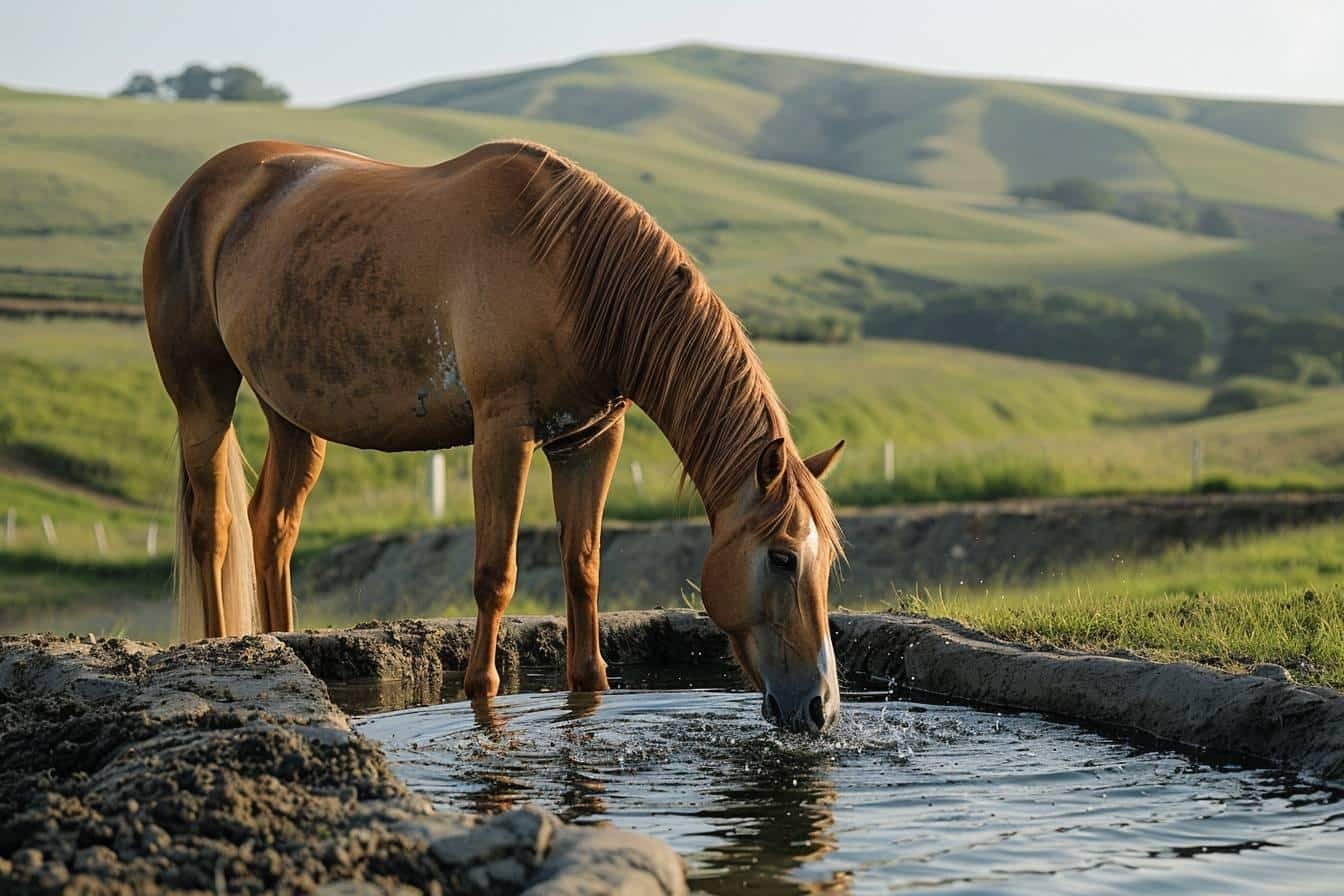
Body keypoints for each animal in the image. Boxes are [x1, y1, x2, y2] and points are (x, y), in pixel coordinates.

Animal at [141, 138, 844, 730]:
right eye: (782, 557)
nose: (820, 706)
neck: (571, 274)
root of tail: (196, 195)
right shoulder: (504, 433)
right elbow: (494, 572)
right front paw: (481, 690)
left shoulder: (589, 440)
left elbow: (582, 567)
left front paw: (589, 686)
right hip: (202, 400)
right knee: (214, 526)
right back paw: (219, 643)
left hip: (291, 416)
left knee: (273, 524)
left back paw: (282, 640)